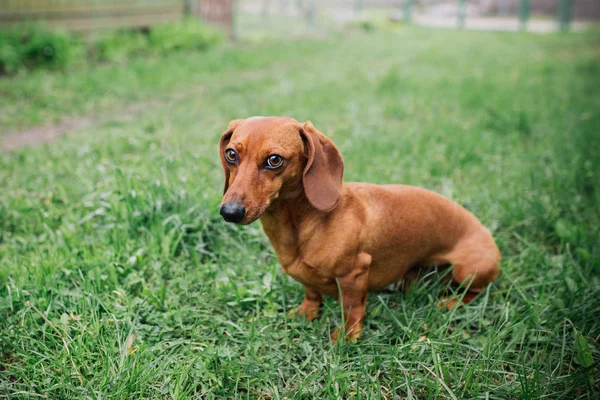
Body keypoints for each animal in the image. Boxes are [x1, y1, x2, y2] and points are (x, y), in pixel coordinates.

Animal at [218, 115, 500, 340]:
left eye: (274, 160)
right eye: (231, 154)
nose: (229, 212)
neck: (303, 224)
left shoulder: (354, 273)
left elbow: (352, 308)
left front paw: (347, 336)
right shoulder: (308, 280)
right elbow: (312, 292)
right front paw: (307, 313)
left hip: (469, 270)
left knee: (474, 291)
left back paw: (451, 302)